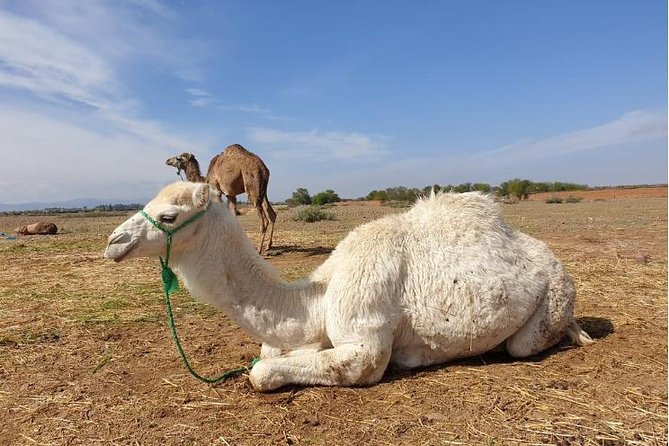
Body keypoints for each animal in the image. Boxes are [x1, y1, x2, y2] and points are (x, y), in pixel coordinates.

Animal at [103, 181, 588, 390]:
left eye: (169, 215)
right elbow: (271, 351)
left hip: (554, 296)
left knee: (527, 342)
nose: (114, 242)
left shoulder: (365, 344)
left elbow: (263, 372)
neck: (315, 298)